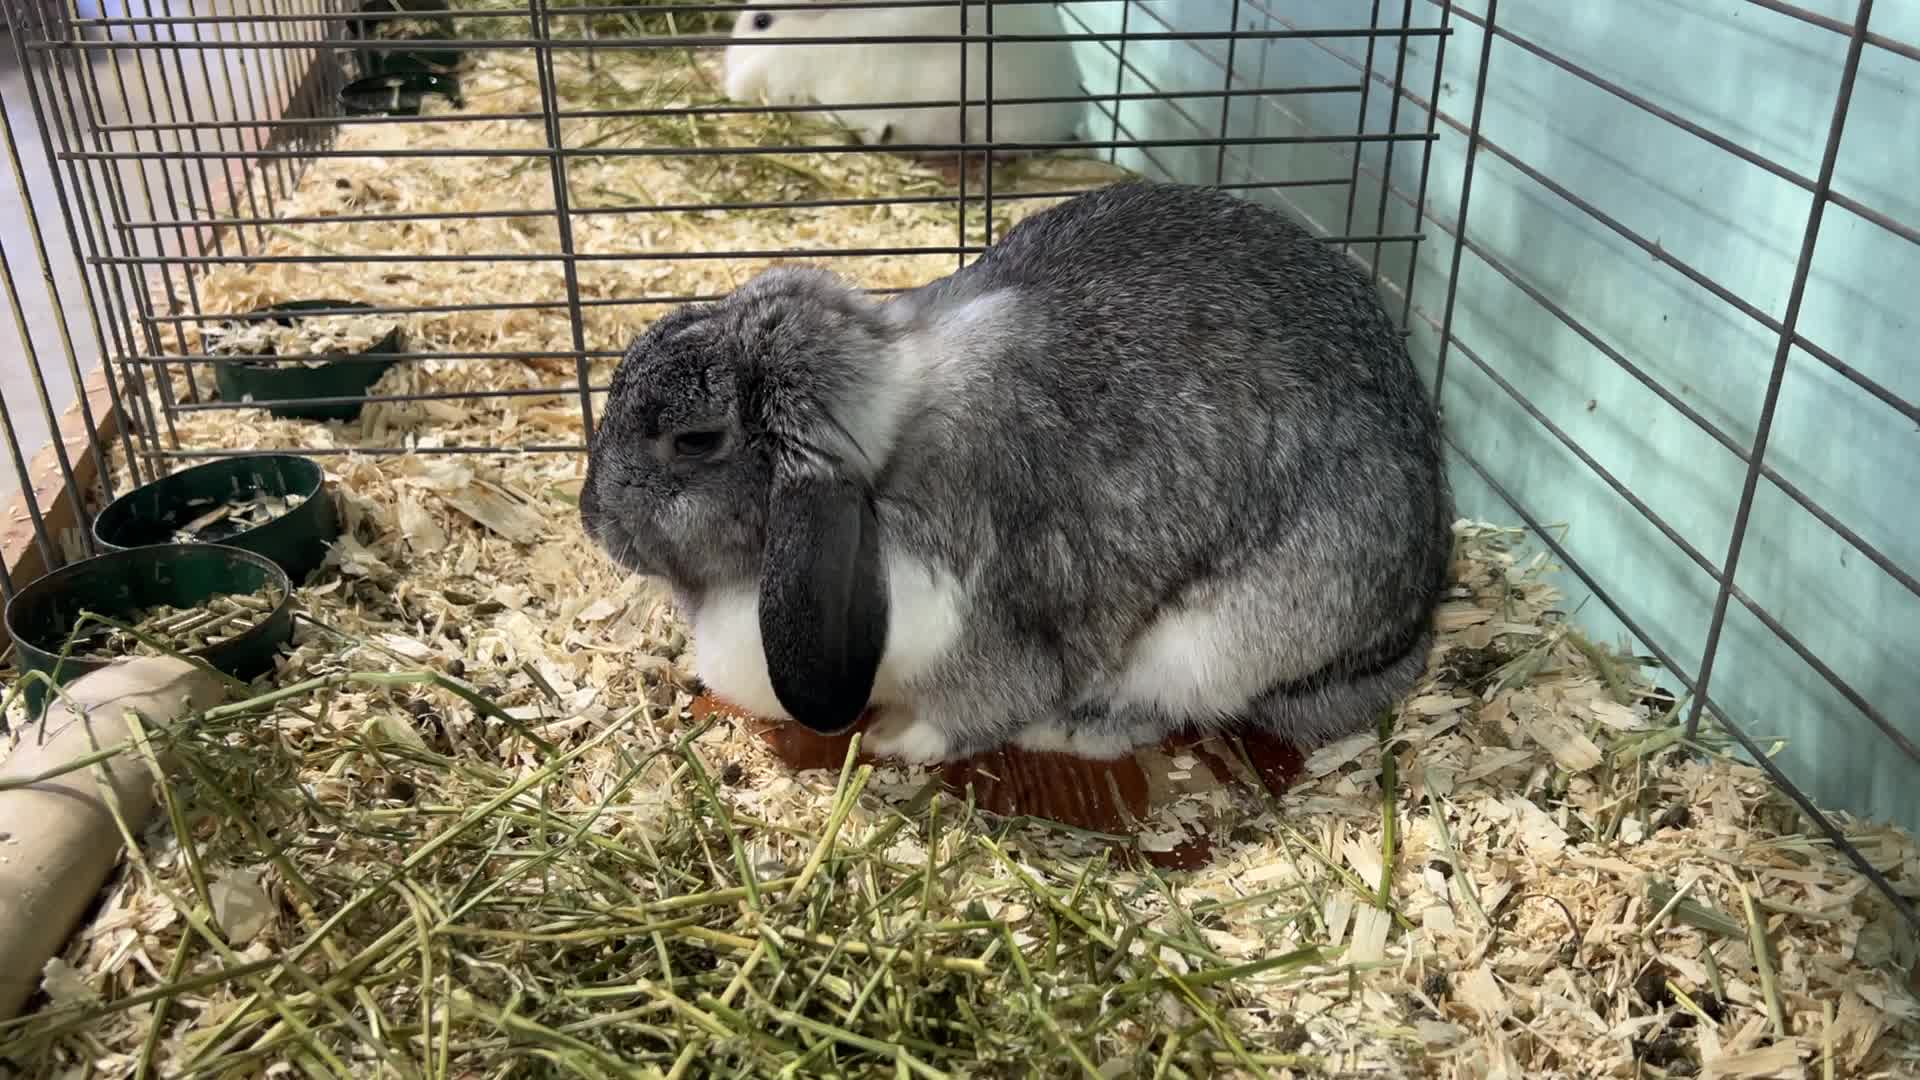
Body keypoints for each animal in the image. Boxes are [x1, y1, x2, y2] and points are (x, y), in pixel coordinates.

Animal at [579, 180, 1454, 767]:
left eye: (695, 440)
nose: (593, 521)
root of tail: (1407, 637)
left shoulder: (987, 621)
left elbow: (973, 705)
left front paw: (900, 741)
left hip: (1211, 643)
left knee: (1154, 706)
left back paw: (1065, 729)